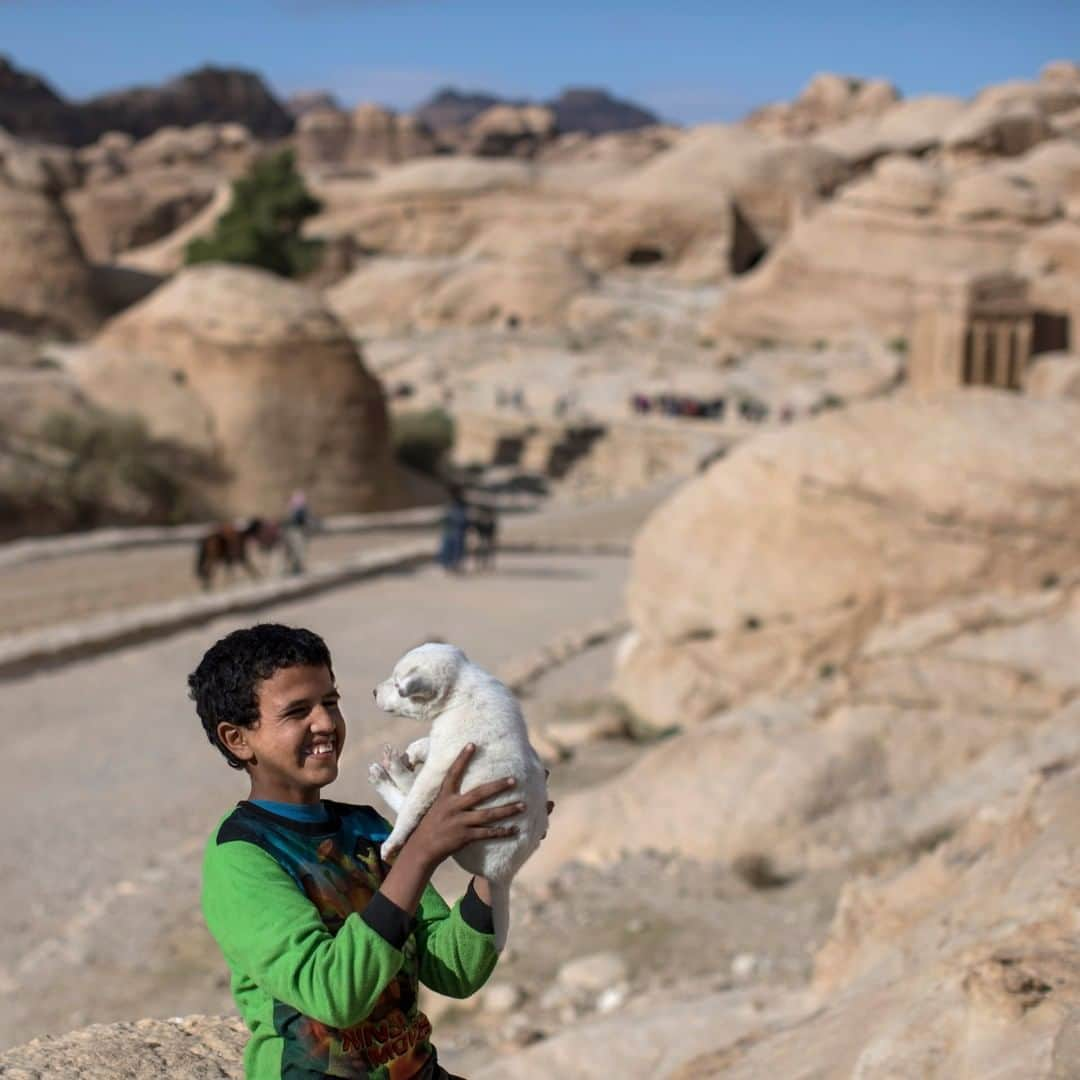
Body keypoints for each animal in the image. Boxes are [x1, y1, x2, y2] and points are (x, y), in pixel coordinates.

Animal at [369, 643, 548, 950]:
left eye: (396, 683)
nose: (373, 692)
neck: (463, 688)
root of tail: (502, 876)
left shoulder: (441, 765)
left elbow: (413, 803)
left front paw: (392, 841)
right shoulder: (442, 743)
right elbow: (427, 742)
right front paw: (415, 751)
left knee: (409, 800)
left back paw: (388, 772)